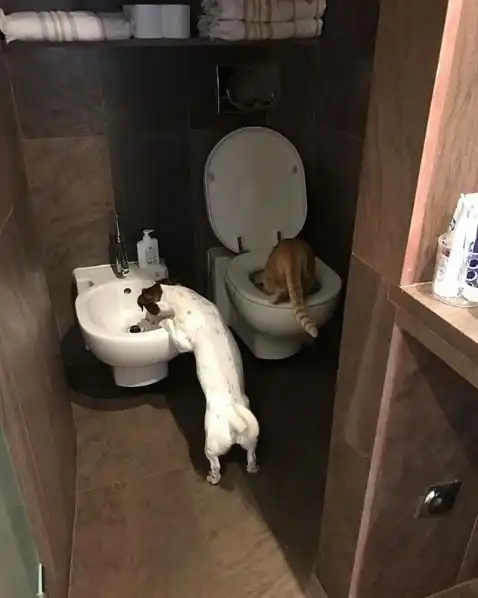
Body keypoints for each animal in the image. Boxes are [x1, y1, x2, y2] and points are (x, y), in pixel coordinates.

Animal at [137, 281, 260, 485]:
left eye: (148, 310)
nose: (143, 321)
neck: (180, 297)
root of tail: (235, 420)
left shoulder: (183, 342)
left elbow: (172, 327)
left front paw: (165, 322)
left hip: (211, 443)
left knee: (215, 463)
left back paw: (213, 476)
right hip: (250, 439)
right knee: (251, 454)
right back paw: (252, 466)